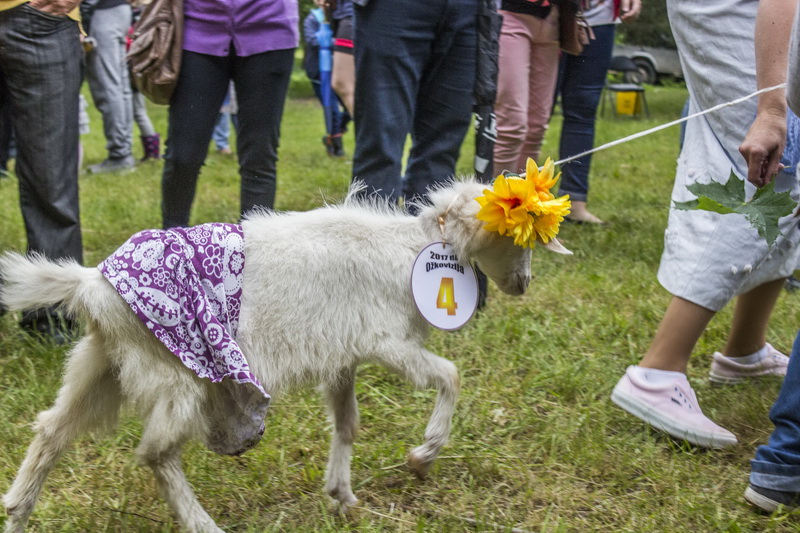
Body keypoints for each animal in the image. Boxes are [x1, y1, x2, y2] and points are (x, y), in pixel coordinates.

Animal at [1, 178, 570, 533]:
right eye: (519, 238)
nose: (523, 284)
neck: (410, 250)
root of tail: (89, 283)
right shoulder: (385, 342)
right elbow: (450, 376)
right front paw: (422, 455)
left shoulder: (342, 357)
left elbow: (347, 422)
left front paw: (342, 496)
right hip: (177, 372)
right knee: (156, 451)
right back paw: (203, 523)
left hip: (103, 364)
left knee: (52, 429)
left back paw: (17, 511)